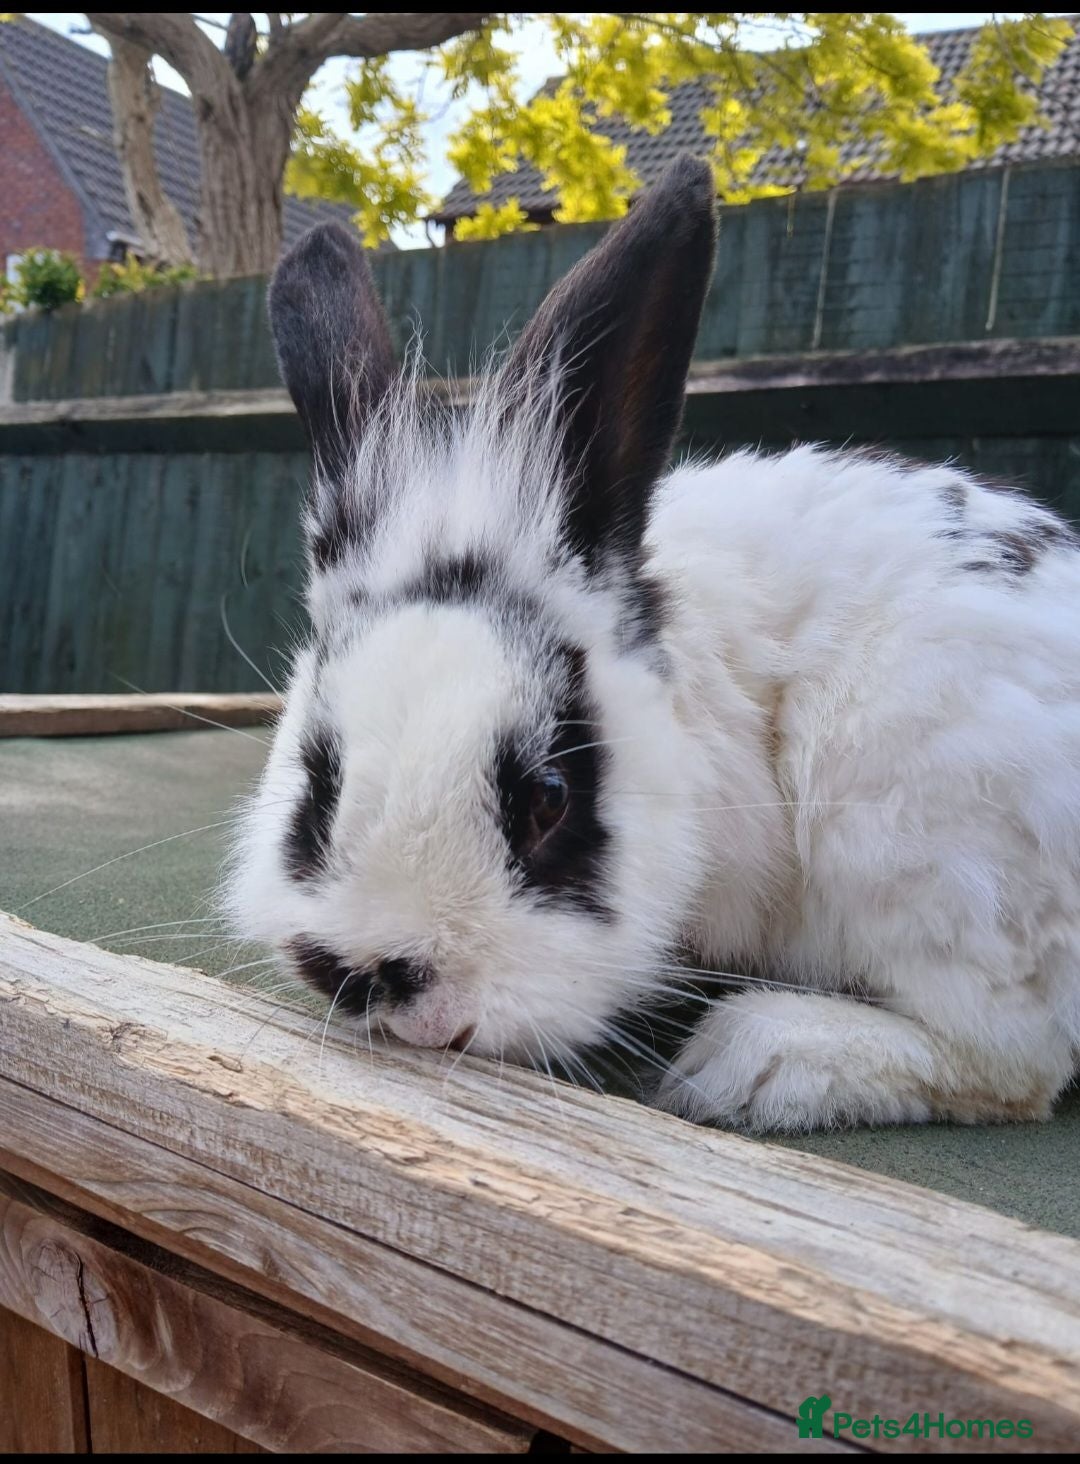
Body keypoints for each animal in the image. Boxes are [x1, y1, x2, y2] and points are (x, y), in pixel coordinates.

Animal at [228, 155, 1080, 1132]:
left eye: (550, 796)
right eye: (317, 784)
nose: (389, 982)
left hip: (917, 823)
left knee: (1011, 1059)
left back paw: (753, 1060)